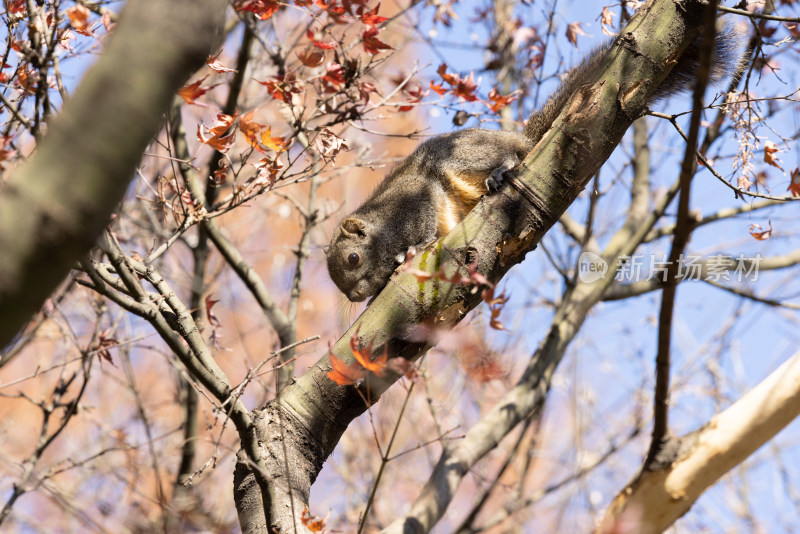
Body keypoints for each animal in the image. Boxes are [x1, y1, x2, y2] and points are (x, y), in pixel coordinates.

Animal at [324, 23, 736, 304]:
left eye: (354, 258)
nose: (356, 297)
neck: (381, 224)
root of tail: (520, 137)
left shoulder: (411, 198)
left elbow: (423, 220)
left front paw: (411, 251)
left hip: (465, 154)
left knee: (506, 156)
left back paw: (504, 167)